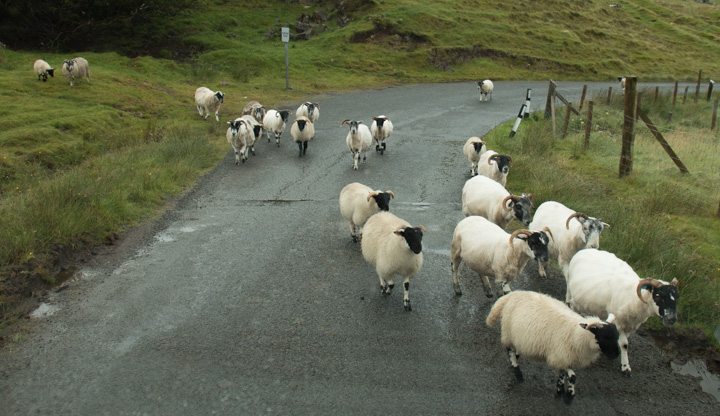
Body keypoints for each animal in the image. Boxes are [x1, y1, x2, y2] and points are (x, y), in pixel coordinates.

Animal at [486, 290, 620, 400]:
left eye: (617, 336)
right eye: (605, 336)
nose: (616, 355)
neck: (576, 334)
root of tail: (511, 295)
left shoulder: (565, 358)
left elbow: (562, 375)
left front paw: (560, 389)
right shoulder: (559, 356)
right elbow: (572, 377)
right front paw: (569, 395)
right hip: (508, 332)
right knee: (509, 350)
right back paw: (516, 369)